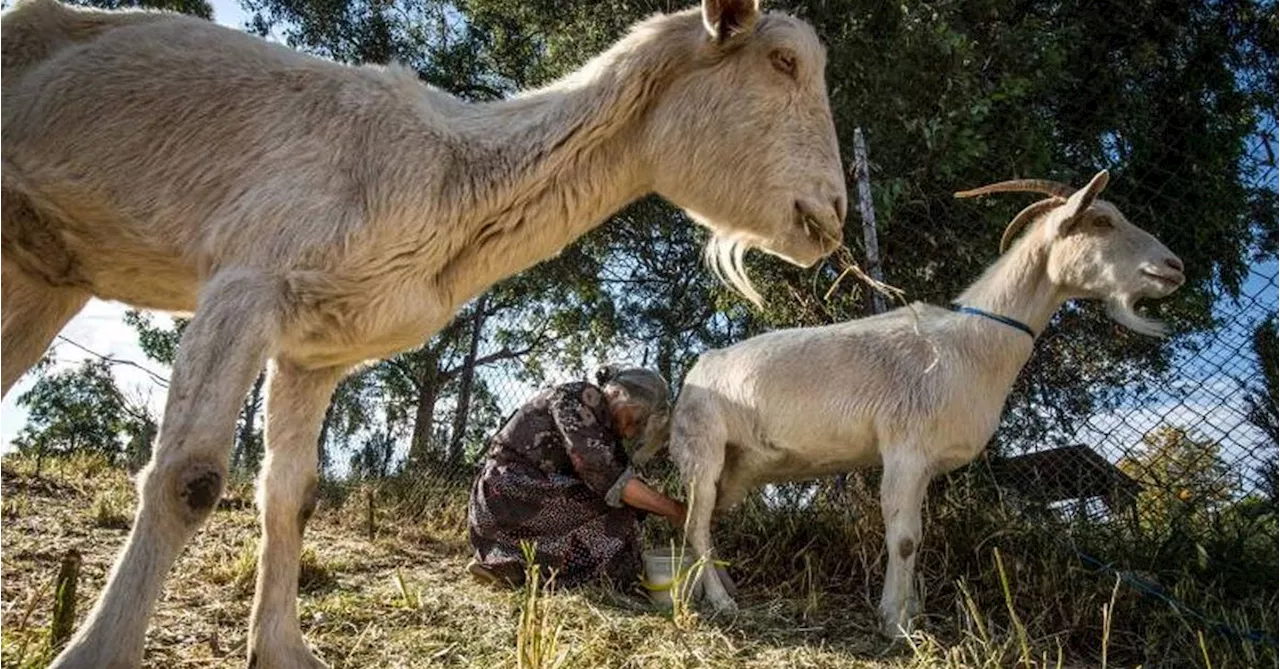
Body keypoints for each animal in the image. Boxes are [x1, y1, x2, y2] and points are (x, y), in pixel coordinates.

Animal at [2, 0, 849, 665]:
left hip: (44, 278)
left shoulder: (316, 347)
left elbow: (293, 495)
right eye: (782, 61)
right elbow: (189, 478)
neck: (449, 178)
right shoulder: (246, 280)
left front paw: (283, 649)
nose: (834, 214)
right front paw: (96, 652)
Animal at [675, 168, 1182, 639]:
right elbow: (903, 538)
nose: (1173, 266)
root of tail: (696, 371)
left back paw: (715, 587)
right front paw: (895, 624)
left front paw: (911, 611)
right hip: (703, 452)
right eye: (1102, 220)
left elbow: (918, 535)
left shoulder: (925, 464)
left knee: (704, 522)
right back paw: (721, 603)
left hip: (738, 470)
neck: (971, 345)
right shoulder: (905, 449)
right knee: (695, 525)